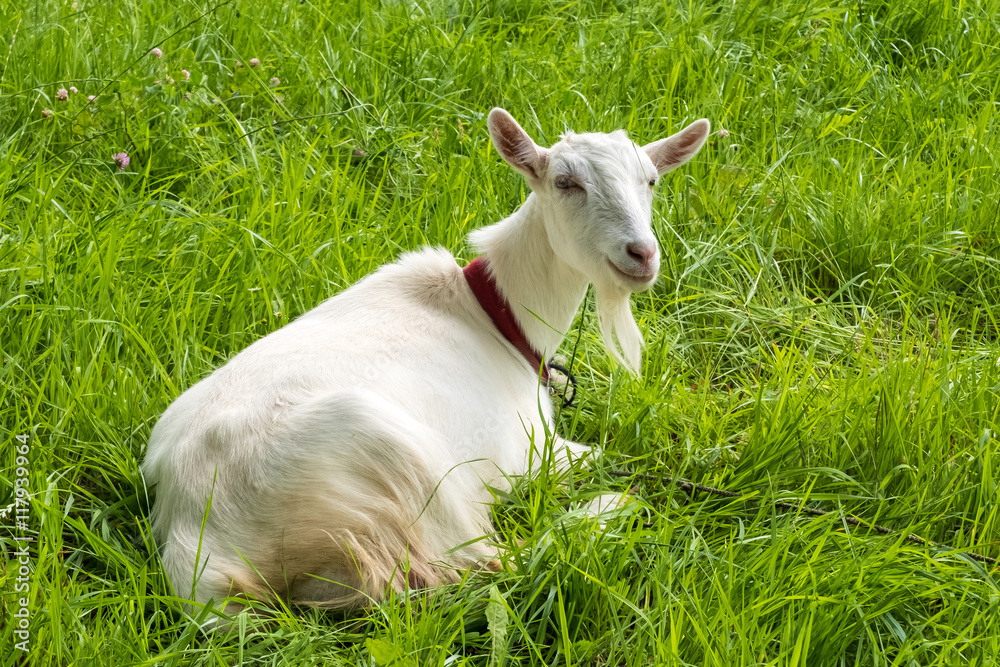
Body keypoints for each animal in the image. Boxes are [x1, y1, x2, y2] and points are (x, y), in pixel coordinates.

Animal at [141, 109, 710, 616]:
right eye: (566, 182)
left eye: (651, 180)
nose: (642, 254)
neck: (493, 313)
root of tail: (194, 539)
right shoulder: (532, 452)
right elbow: (602, 455)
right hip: (400, 462)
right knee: (492, 563)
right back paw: (612, 507)